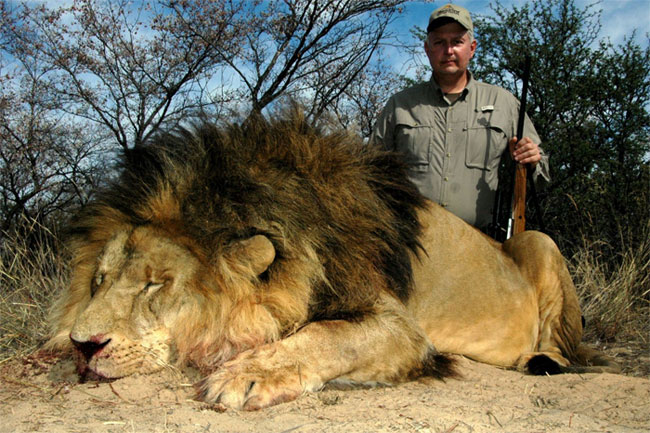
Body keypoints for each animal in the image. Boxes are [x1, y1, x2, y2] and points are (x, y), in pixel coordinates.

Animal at [46, 111, 618, 410]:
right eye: (98, 281)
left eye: (155, 285)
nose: (82, 347)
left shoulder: (401, 326)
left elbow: (325, 335)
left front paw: (246, 373)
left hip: (541, 241)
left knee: (561, 342)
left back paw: (542, 360)